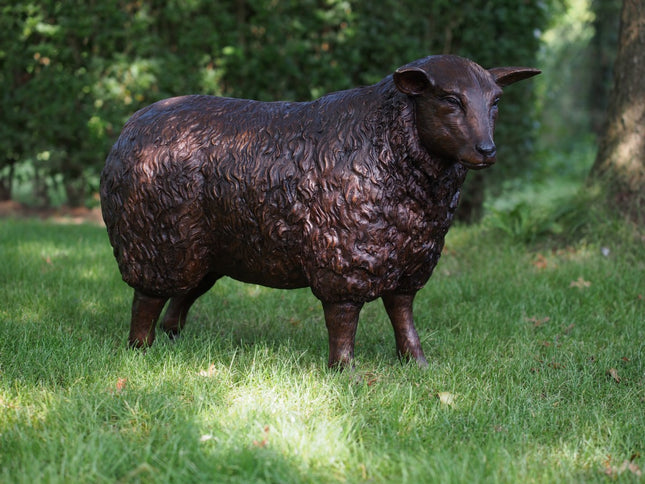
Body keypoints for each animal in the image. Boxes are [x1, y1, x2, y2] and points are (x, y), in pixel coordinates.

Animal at [100, 54, 539, 368]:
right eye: (450, 99)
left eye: (496, 102)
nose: (487, 151)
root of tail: (131, 124)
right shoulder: (342, 257)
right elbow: (343, 319)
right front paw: (344, 370)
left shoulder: (406, 258)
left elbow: (403, 314)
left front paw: (417, 364)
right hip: (156, 240)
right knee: (147, 298)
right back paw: (140, 349)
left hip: (207, 250)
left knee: (181, 296)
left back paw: (174, 339)